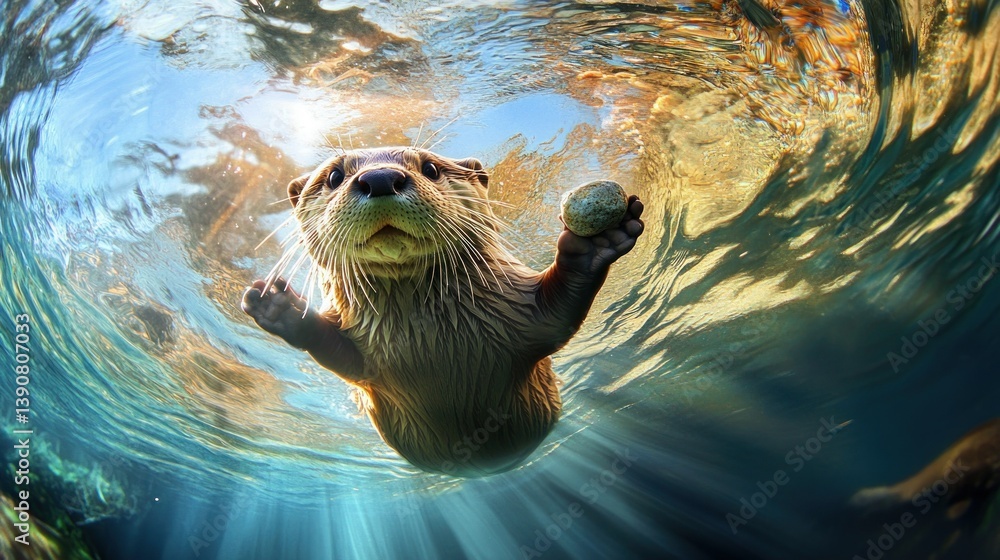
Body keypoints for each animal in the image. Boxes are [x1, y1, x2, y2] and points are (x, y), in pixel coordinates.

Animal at [242, 147, 643, 476]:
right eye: (335, 176)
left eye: (431, 168)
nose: (380, 177)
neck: (430, 336)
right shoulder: (367, 357)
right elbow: (336, 354)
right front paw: (279, 305)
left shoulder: (522, 315)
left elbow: (560, 313)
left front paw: (591, 248)